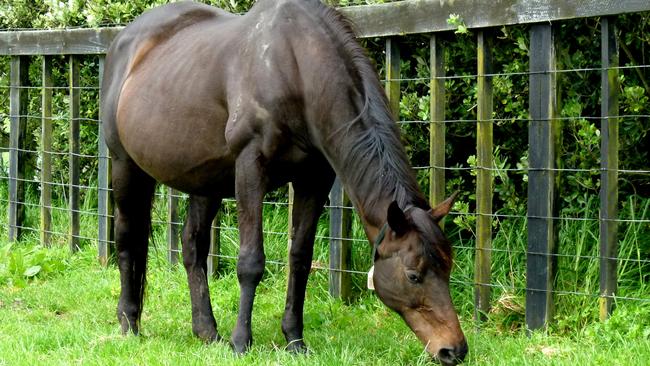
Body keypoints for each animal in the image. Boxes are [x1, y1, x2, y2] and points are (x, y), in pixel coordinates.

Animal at [101, 0, 466, 364]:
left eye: (448, 267)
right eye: (414, 275)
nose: (454, 349)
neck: (296, 69)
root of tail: (124, 43)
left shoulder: (314, 179)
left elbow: (300, 258)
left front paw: (294, 339)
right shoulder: (250, 168)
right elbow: (251, 261)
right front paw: (241, 341)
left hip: (206, 182)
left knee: (193, 245)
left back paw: (206, 331)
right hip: (125, 166)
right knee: (127, 238)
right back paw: (129, 321)